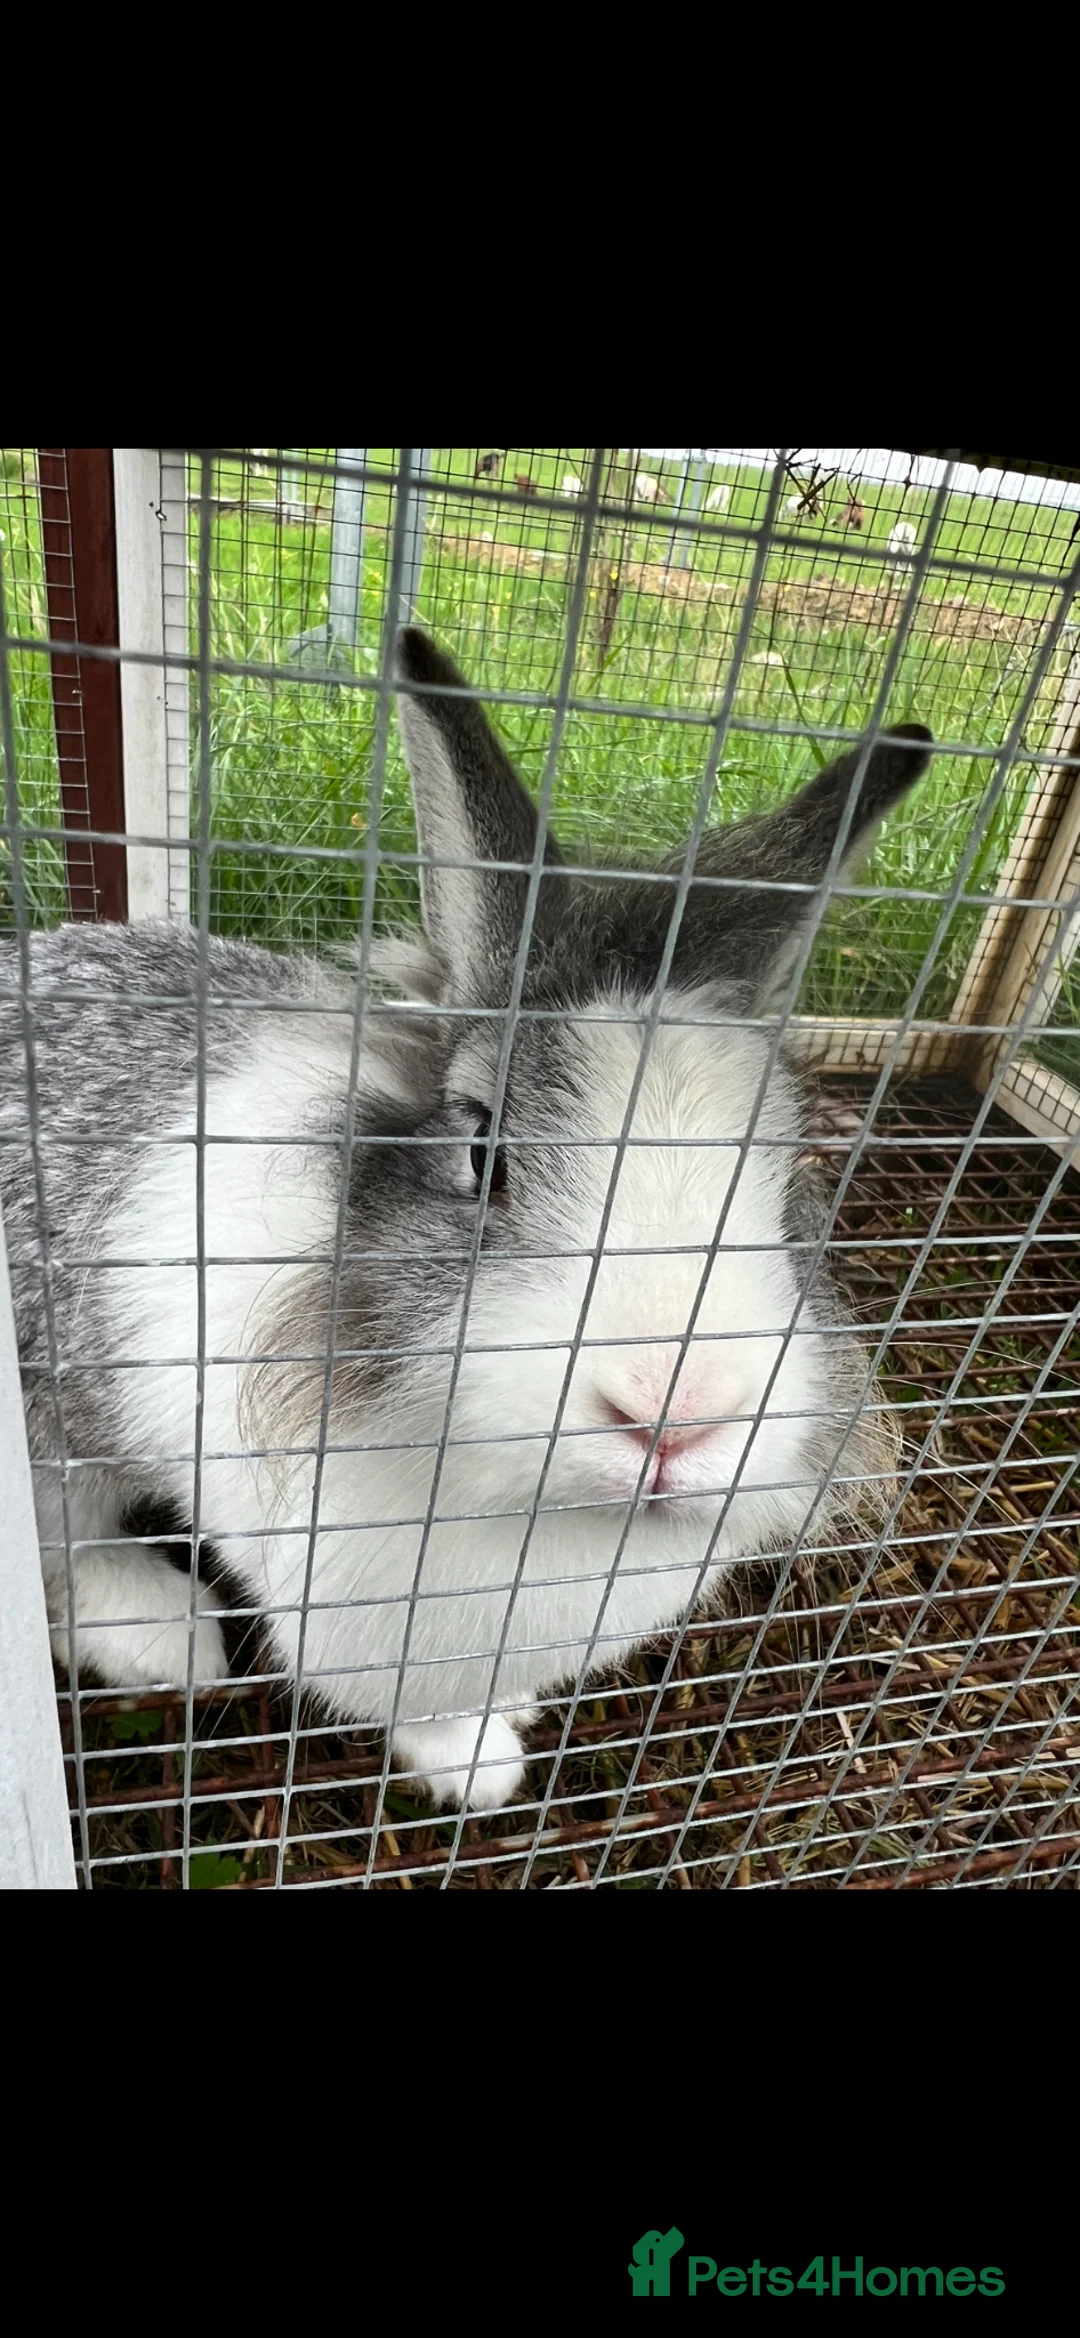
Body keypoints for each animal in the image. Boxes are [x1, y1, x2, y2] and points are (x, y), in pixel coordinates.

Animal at [0, 629, 933, 1811]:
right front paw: (480, 1769)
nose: (674, 1415)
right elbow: (420, 1709)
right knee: (64, 1554)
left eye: (789, 1177)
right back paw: (172, 1637)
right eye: (482, 1154)